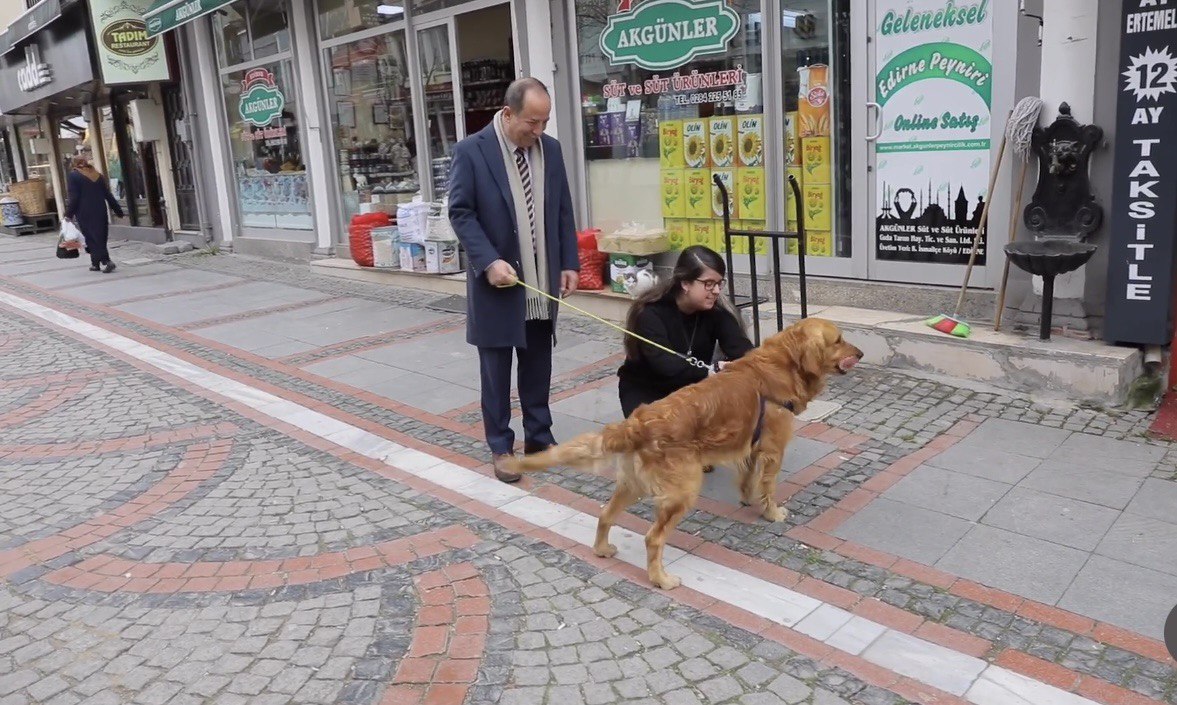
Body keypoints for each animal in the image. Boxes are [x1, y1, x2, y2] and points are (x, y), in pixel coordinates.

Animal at [506, 317, 866, 590]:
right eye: (839, 340)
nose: (861, 353)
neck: (784, 362)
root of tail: (639, 422)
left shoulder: (751, 445)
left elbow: (748, 479)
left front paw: (747, 499)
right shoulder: (773, 449)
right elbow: (768, 487)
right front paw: (771, 512)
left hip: (632, 484)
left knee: (606, 514)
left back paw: (602, 549)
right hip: (682, 491)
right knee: (653, 538)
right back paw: (661, 579)